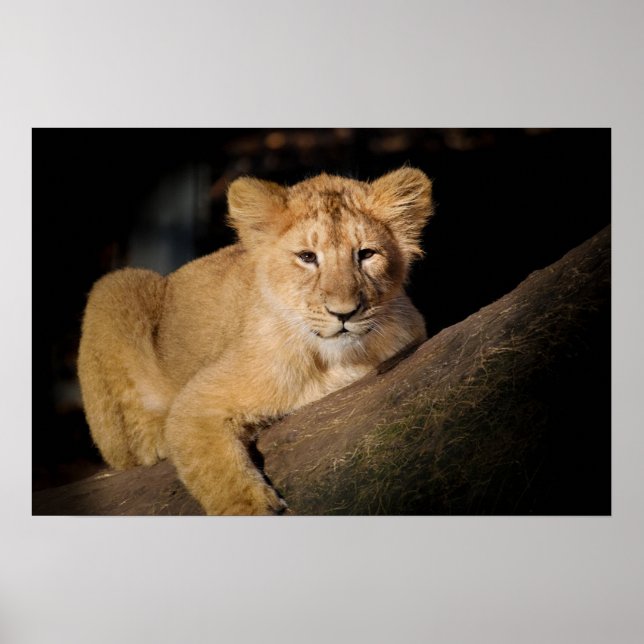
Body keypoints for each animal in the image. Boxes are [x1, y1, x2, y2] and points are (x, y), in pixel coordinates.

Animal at [77, 167, 433, 515]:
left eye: (366, 254)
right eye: (307, 257)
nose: (343, 312)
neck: (334, 360)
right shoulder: (196, 403)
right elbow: (220, 476)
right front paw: (251, 508)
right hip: (116, 286)